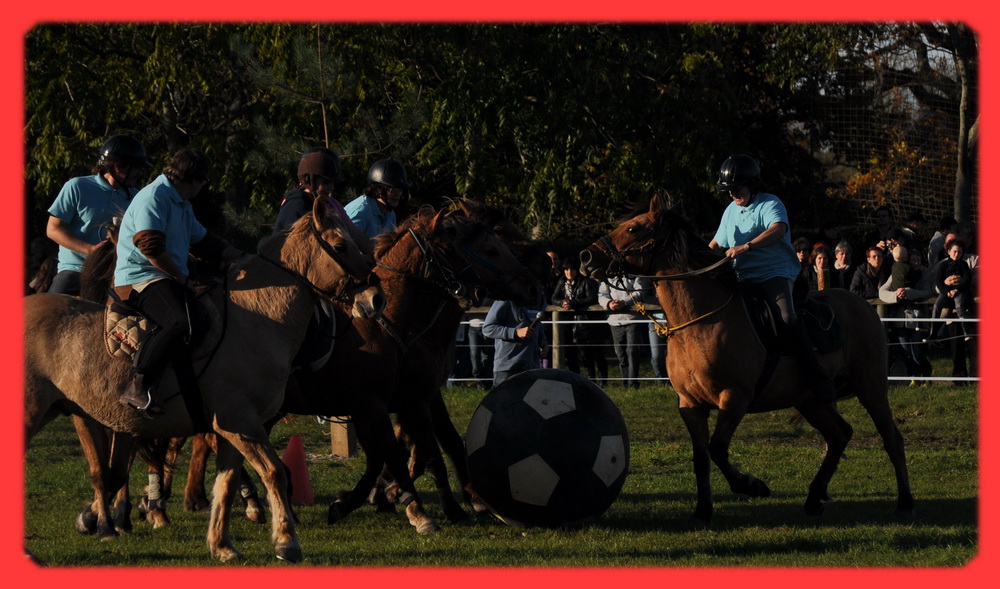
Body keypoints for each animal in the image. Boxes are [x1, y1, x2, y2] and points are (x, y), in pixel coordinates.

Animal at [24, 196, 384, 561]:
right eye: (340, 246)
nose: (375, 298)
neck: (256, 320)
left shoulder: (232, 431)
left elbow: (225, 484)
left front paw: (222, 545)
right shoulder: (242, 424)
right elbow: (273, 473)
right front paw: (287, 542)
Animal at [579, 195, 914, 525]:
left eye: (633, 229)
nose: (585, 257)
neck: (699, 324)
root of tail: (863, 305)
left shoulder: (734, 398)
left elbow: (717, 449)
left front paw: (753, 486)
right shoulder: (690, 405)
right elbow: (701, 457)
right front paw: (703, 510)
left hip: (870, 388)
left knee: (892, 440)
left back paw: (903, 503)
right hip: (810, 400)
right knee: (839, 435)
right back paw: (814, 497)